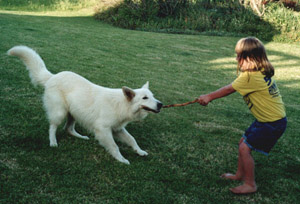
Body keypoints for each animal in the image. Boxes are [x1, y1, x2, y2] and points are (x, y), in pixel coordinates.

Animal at [7, 45, 162, 164]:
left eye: (153, 96)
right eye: (145, 98)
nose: (160, 104)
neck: (122, 104)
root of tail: (53, 76)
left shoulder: (118, 129)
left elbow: (132, 139)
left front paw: (140, 151)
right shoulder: (103, 129)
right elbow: (114, 146)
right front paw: (121, 159)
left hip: (74, 113)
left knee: (68, 129)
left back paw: (80, 136)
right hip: (60, 112)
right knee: (53, 127)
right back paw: (53, 142)